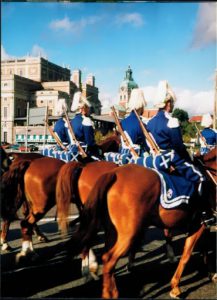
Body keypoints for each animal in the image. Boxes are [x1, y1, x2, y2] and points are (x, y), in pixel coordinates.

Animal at [58, 147, 217, 298]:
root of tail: (113, 173)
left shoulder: (199, 225)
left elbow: (200, 249)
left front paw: (209, 273)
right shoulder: (200, 224)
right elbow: (187, 254)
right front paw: (176, 286)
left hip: (111, 231)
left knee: (101, 253)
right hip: (126, 234)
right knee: (108, 259)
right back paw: (105, 286)